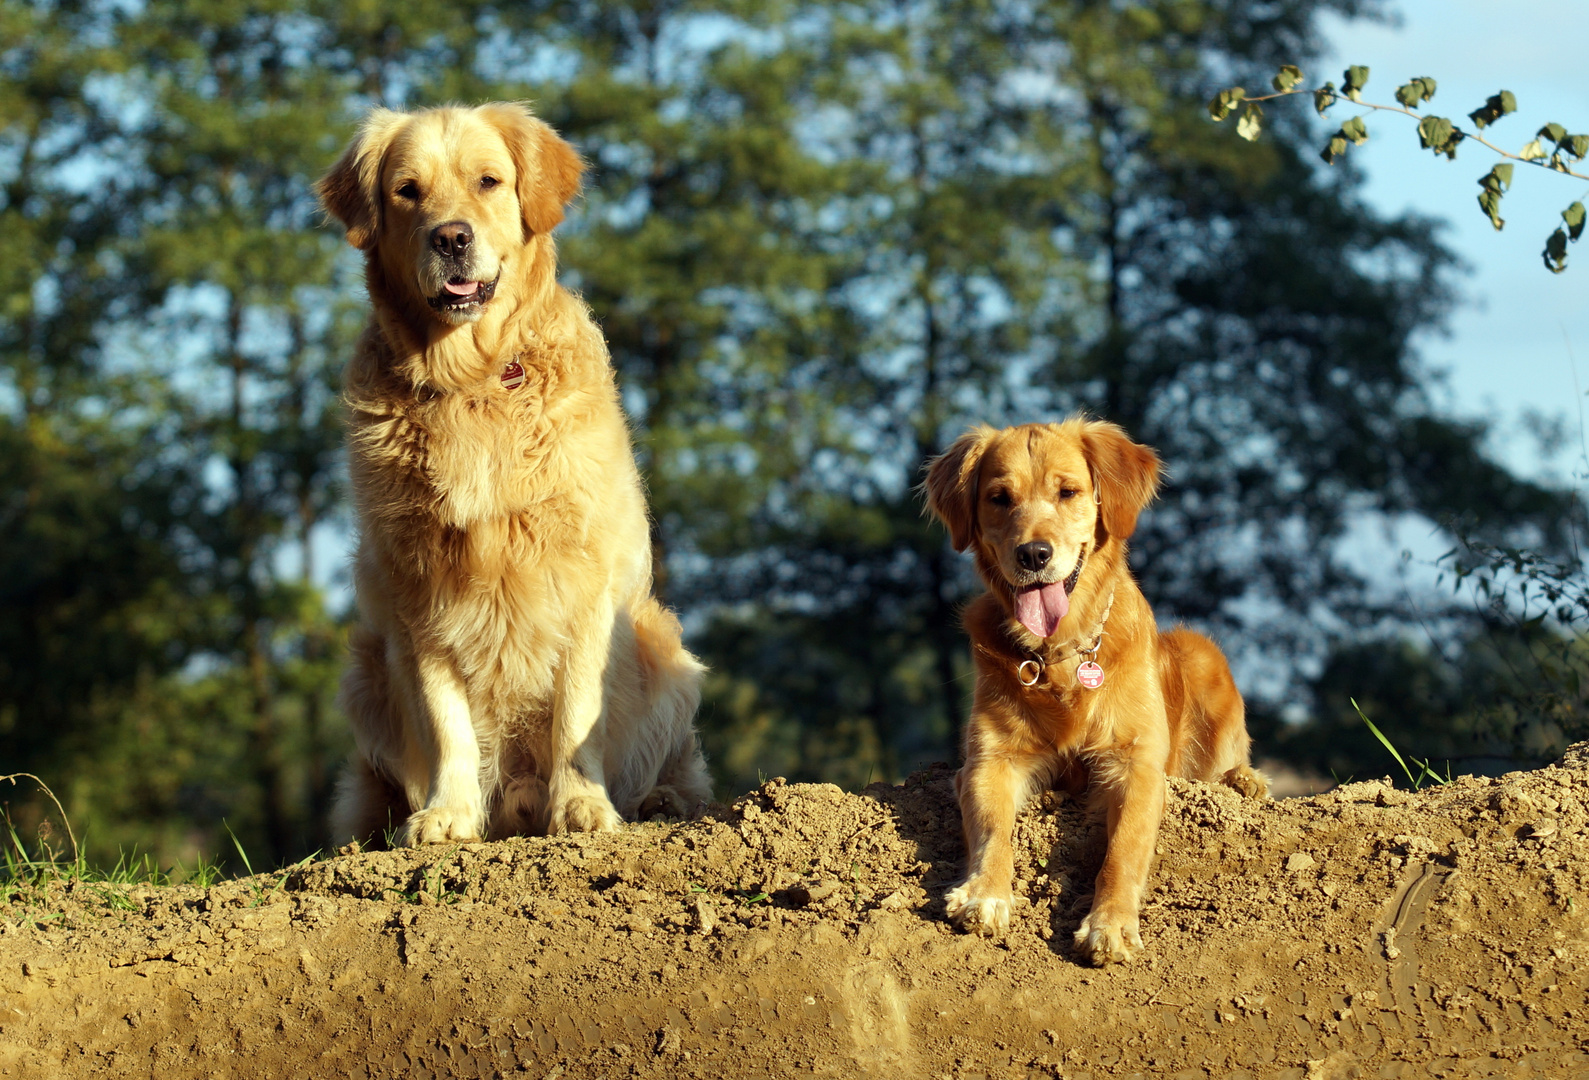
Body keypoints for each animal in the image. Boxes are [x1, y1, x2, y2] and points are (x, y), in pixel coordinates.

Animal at [316, 103, 708, 844]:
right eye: (406, 190)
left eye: (488, 181)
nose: (450, 238)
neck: (471, 380)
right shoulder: (416, 589)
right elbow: (445, 717)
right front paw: (448, 813)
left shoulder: (586, 575)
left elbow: (577, 709)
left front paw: (582, 806)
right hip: (362, 672)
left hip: (659, 639)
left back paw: (658, 802)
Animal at [921, 419, 1264, 959]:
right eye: (999, 498)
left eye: (1068, 492)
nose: (1033, 554)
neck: (1061, 653)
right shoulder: (989, 761)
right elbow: (996, 830)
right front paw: (985, 894)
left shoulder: (1136, 765)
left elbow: (1123, 849)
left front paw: (1112, 923)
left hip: (1201, 651)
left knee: (1227, 764)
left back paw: (1246, 781)